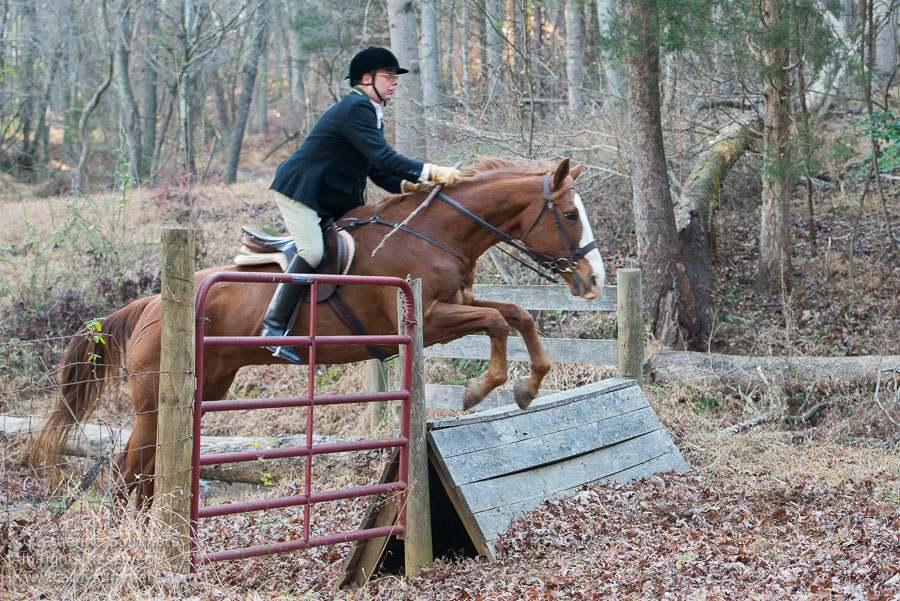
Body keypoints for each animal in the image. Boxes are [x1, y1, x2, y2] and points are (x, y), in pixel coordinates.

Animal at [38, 157, 608, 504]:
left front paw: (528, 385)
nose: (594, 280)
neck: (437, 231)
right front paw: (480, 389)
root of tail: (151, 304)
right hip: (156, 402)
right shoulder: (430, 318)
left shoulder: (458, 304)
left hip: (207, 386)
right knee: (129, 470)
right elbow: (496, 320)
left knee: (145, 470)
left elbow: (516, 313)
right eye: (570, 214)